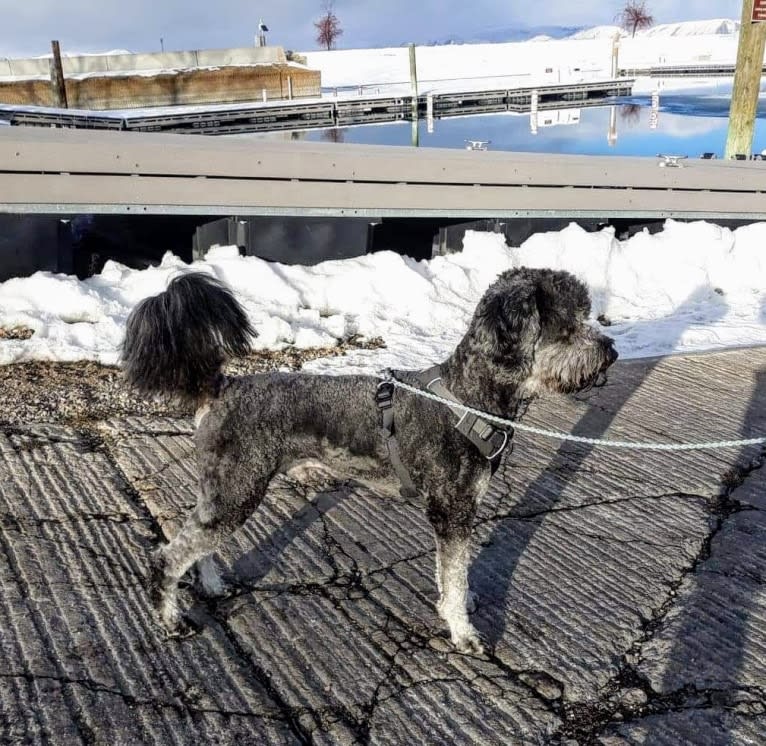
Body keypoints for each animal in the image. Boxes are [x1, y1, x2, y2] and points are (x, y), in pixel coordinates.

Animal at [123, 268, 620, 652]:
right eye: (568, 326)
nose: (611, 350)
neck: (467, 397)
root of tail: (220, 388)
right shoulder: (452, 510)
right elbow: (455, 575)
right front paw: (462, 632)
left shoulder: (458, 513)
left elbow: (454, 573)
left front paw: (458, 605)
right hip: (237, 490)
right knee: (168, 556)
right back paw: (170, 621)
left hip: (226, 491)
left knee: (196, 543)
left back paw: (209, 584)